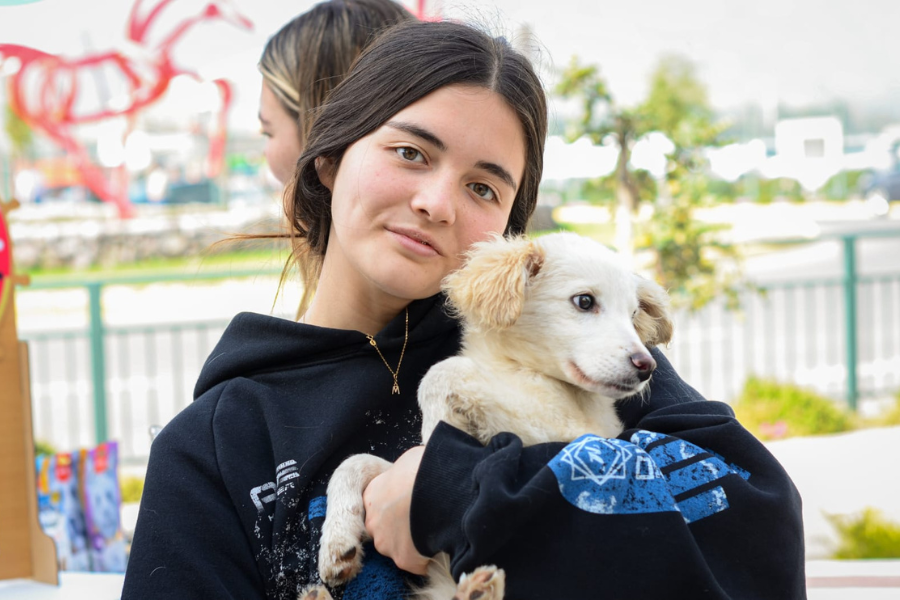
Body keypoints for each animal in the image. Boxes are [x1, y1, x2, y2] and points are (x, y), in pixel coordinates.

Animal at [302, 231, 668, 600]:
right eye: (584, 301)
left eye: (633, 313)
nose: (647, 366)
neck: (519, 370)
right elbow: (354, 462)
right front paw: (337, 541)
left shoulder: (573, 431)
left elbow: (443, 371)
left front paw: (433, 434)